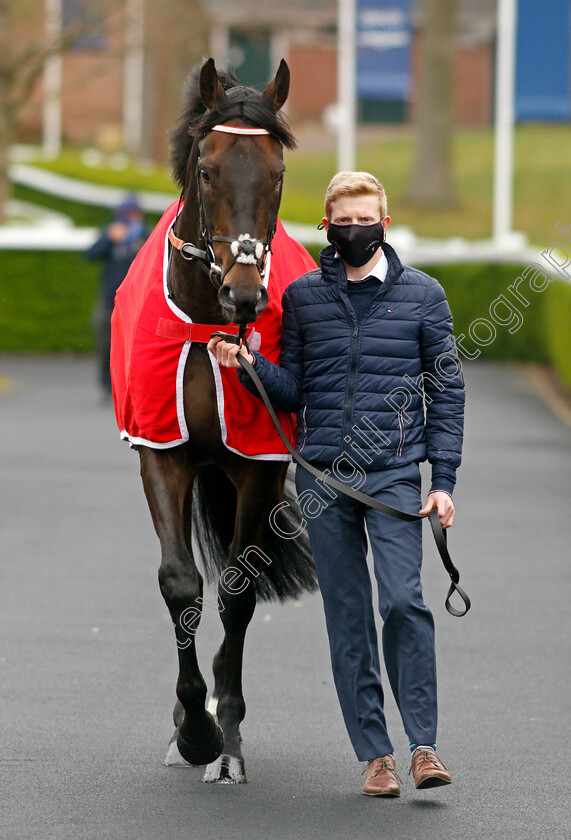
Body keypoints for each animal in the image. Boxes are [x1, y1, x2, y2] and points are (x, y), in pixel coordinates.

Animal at [122, 62, 318, 784]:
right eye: (206, 169)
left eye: (278, 172)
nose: (243, 292)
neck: (209, 327)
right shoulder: (162, 447)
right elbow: (180, 583)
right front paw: (193, 725)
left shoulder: (258, 462)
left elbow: (238, 590)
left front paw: (223, 734)